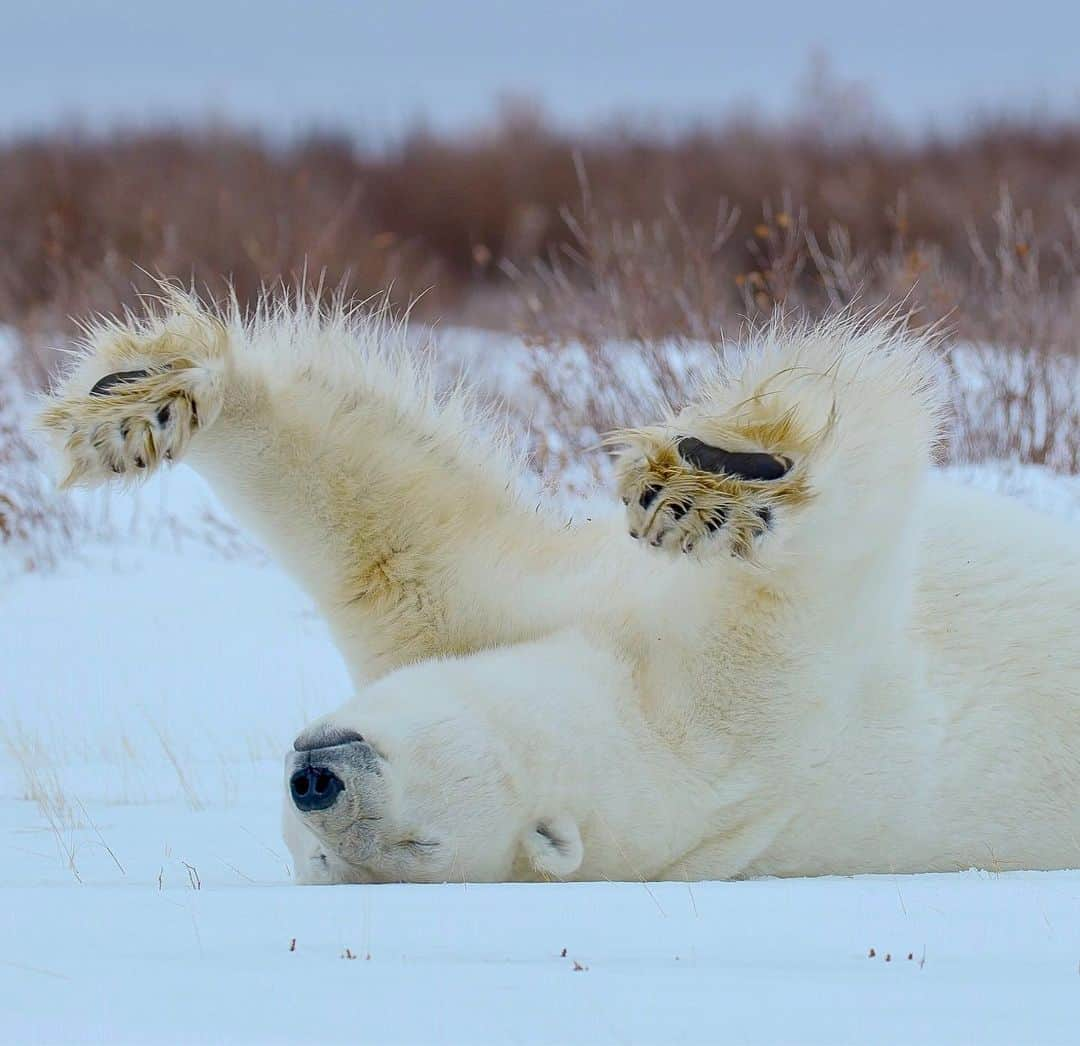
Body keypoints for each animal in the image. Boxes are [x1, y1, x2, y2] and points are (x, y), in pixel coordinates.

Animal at [38, 291, 1080, 880]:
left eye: (418, 847)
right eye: (321, 856)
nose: (314, 781)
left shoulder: (750, 707)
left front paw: (710, 478)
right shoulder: (519, 632)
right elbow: (398, 541)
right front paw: (139, 406)